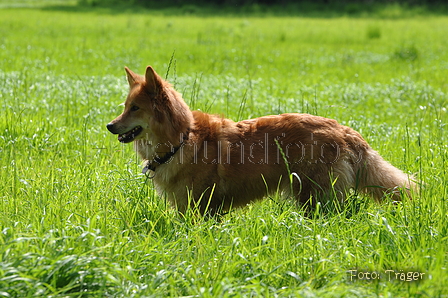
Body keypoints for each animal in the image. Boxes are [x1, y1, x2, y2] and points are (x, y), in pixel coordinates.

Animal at [107, 66, 414, 214]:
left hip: (314, 195)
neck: (183, 139)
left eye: (135, 108)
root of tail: (345, 130)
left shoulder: (201, 208)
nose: (110, 126)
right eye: (125, 106)